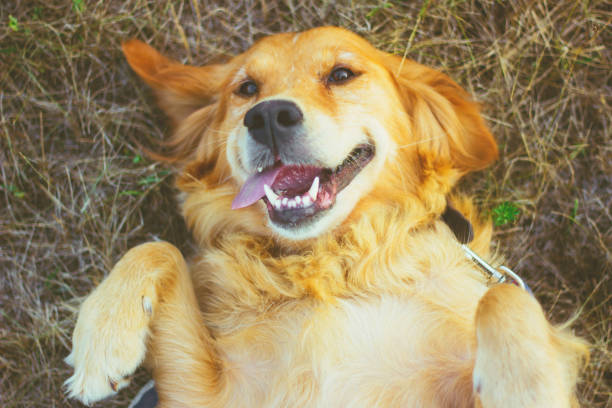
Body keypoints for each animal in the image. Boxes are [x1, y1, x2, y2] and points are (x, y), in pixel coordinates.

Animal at [64, 27, 584, 406]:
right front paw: (101, 340)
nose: (267, 116)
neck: (333, 264)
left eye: (341, 74)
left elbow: (504, 296)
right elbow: (157, 248)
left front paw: (524, 382)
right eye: (246, 88)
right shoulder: (209, 394)